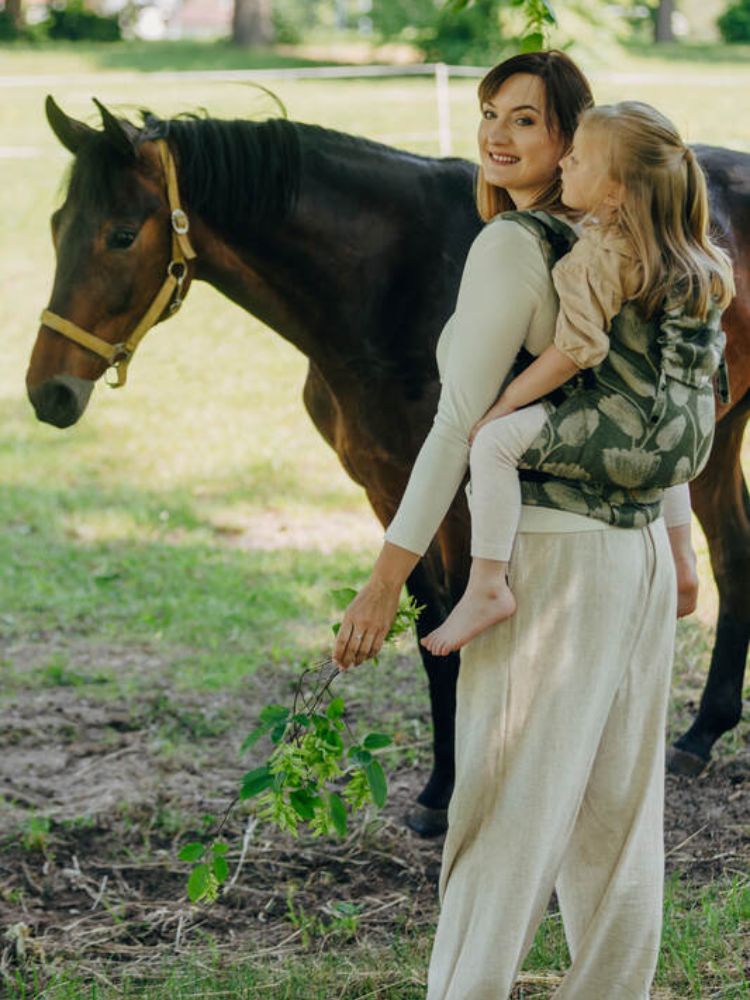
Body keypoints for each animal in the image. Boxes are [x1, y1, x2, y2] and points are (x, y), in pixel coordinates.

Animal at [26, 101, 748, 836]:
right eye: (55, 226)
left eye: (119, 235)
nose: (48, 392)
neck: (393, 281)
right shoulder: (387, 485)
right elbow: (428, 628)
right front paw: (437, 789)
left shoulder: (457, 491)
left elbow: (459, 623)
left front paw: (454, 792)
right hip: (719, 440)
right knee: (731, 557)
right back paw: (700, 735)